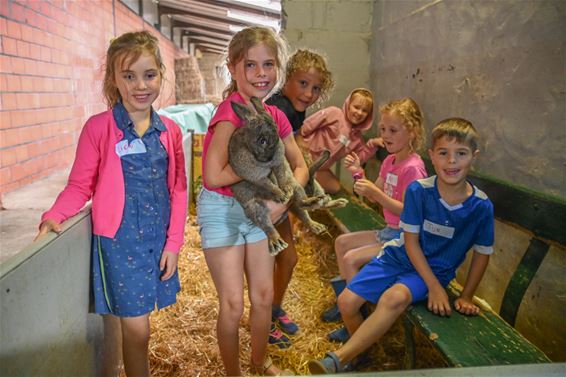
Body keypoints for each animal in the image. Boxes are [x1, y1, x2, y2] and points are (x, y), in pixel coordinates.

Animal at [229, 97, 328, 256]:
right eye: (262, 140)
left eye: (276, 129)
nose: (272, 154)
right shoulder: (256, 177)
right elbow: (269, 185)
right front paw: (281, 195)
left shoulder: (279, 163)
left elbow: (280, 175)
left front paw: (285, 191)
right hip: (254, 207)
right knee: (267, 226)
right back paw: (277, 244)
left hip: (297, 187)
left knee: (302, 205)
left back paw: (314, 210)